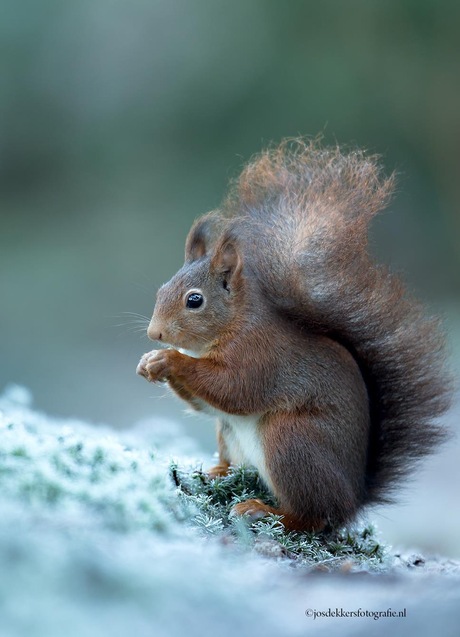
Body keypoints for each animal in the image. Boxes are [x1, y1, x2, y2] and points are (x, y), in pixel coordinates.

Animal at [135, 140, 452, 532]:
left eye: (194, 300)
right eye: (161, 290)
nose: (155, 333)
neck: (233, 324)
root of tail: (352, 501)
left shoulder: (260, 355)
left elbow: (233, 388)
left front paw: (169, 359)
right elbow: (205, 403)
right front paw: (149, 362)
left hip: (291, 441)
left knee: (311, 516)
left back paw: (263, 511)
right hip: (230, 434)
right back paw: (216, 473)